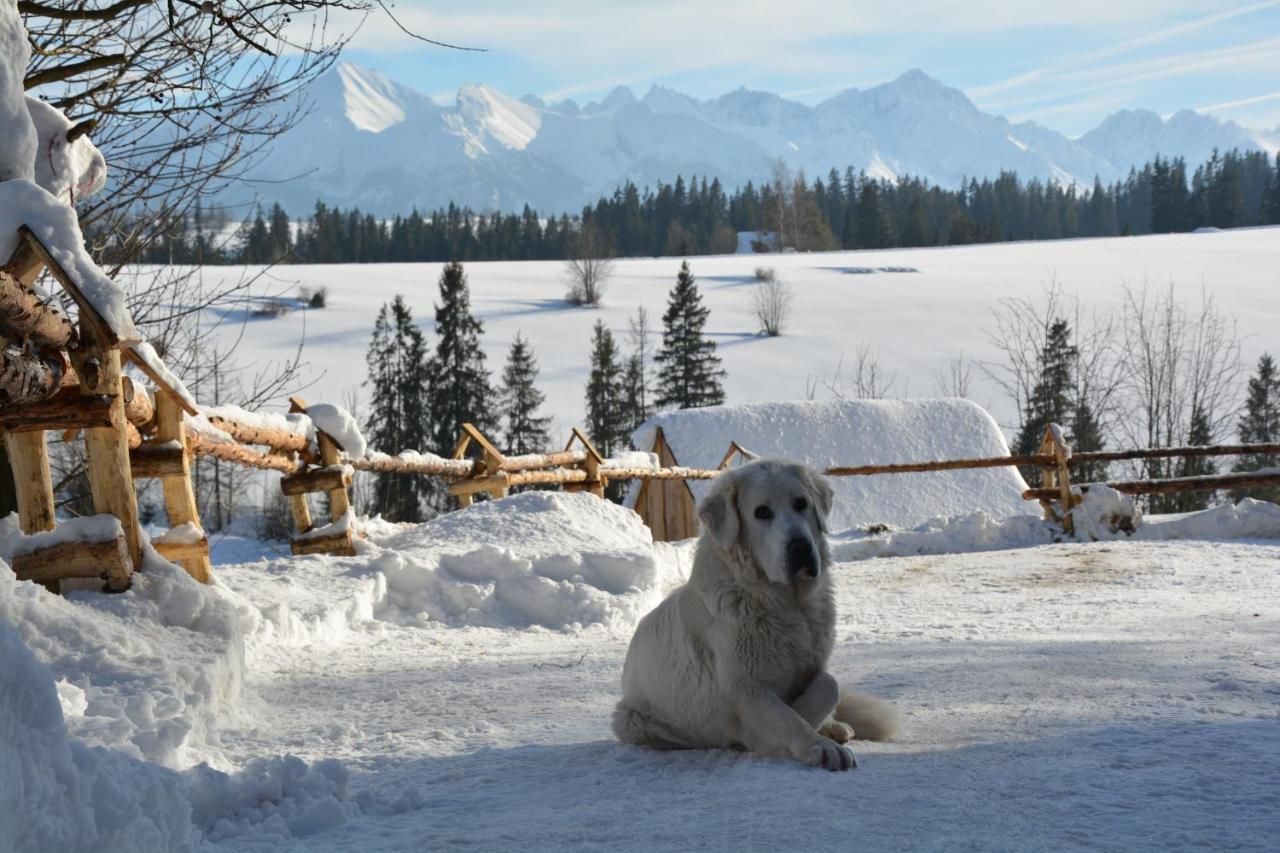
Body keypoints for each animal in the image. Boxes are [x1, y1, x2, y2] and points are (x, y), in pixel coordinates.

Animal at [611, 458, 896, 768]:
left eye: (801, 503)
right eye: (762, 512)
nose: (800, 547)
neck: (785, 603)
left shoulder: (812, 665)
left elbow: (828, 686)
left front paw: (814, 720)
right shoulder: (746, 690)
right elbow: (788, 719)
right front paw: (816, 743)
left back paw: (837, 727)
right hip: (632, 720)